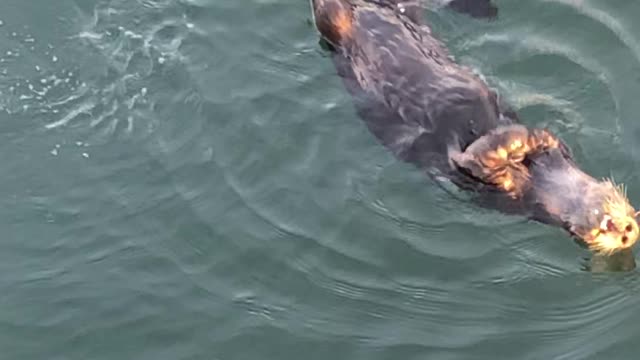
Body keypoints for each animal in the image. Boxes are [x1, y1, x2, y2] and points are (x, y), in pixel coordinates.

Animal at [312, 0, 640, 253]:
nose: (627, 229)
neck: (543, 181)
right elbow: (536, 137)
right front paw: (530, 138)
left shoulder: (492, 182)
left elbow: (475, 158)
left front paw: (512, 143)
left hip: (334, 21)